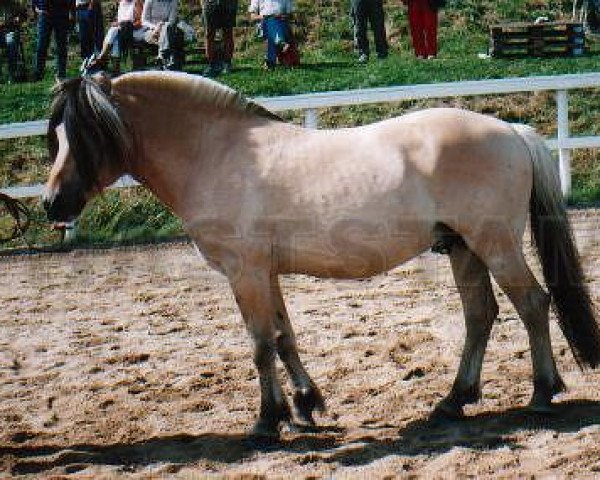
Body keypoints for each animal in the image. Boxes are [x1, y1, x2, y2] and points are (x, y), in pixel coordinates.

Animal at [42, 71, 600, 438]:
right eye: (57, 135)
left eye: (85, 135)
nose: (52, 204)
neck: (217, 153)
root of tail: (511, 130)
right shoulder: (264, 273)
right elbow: (284, 338)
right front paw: (306, 406)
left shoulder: (244, 272)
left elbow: (259, 344)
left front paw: (267, 421)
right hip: (462, 248)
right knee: (481, 315)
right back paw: (452, 401)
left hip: (495, 244)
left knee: (533, 304)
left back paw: (542, 393)